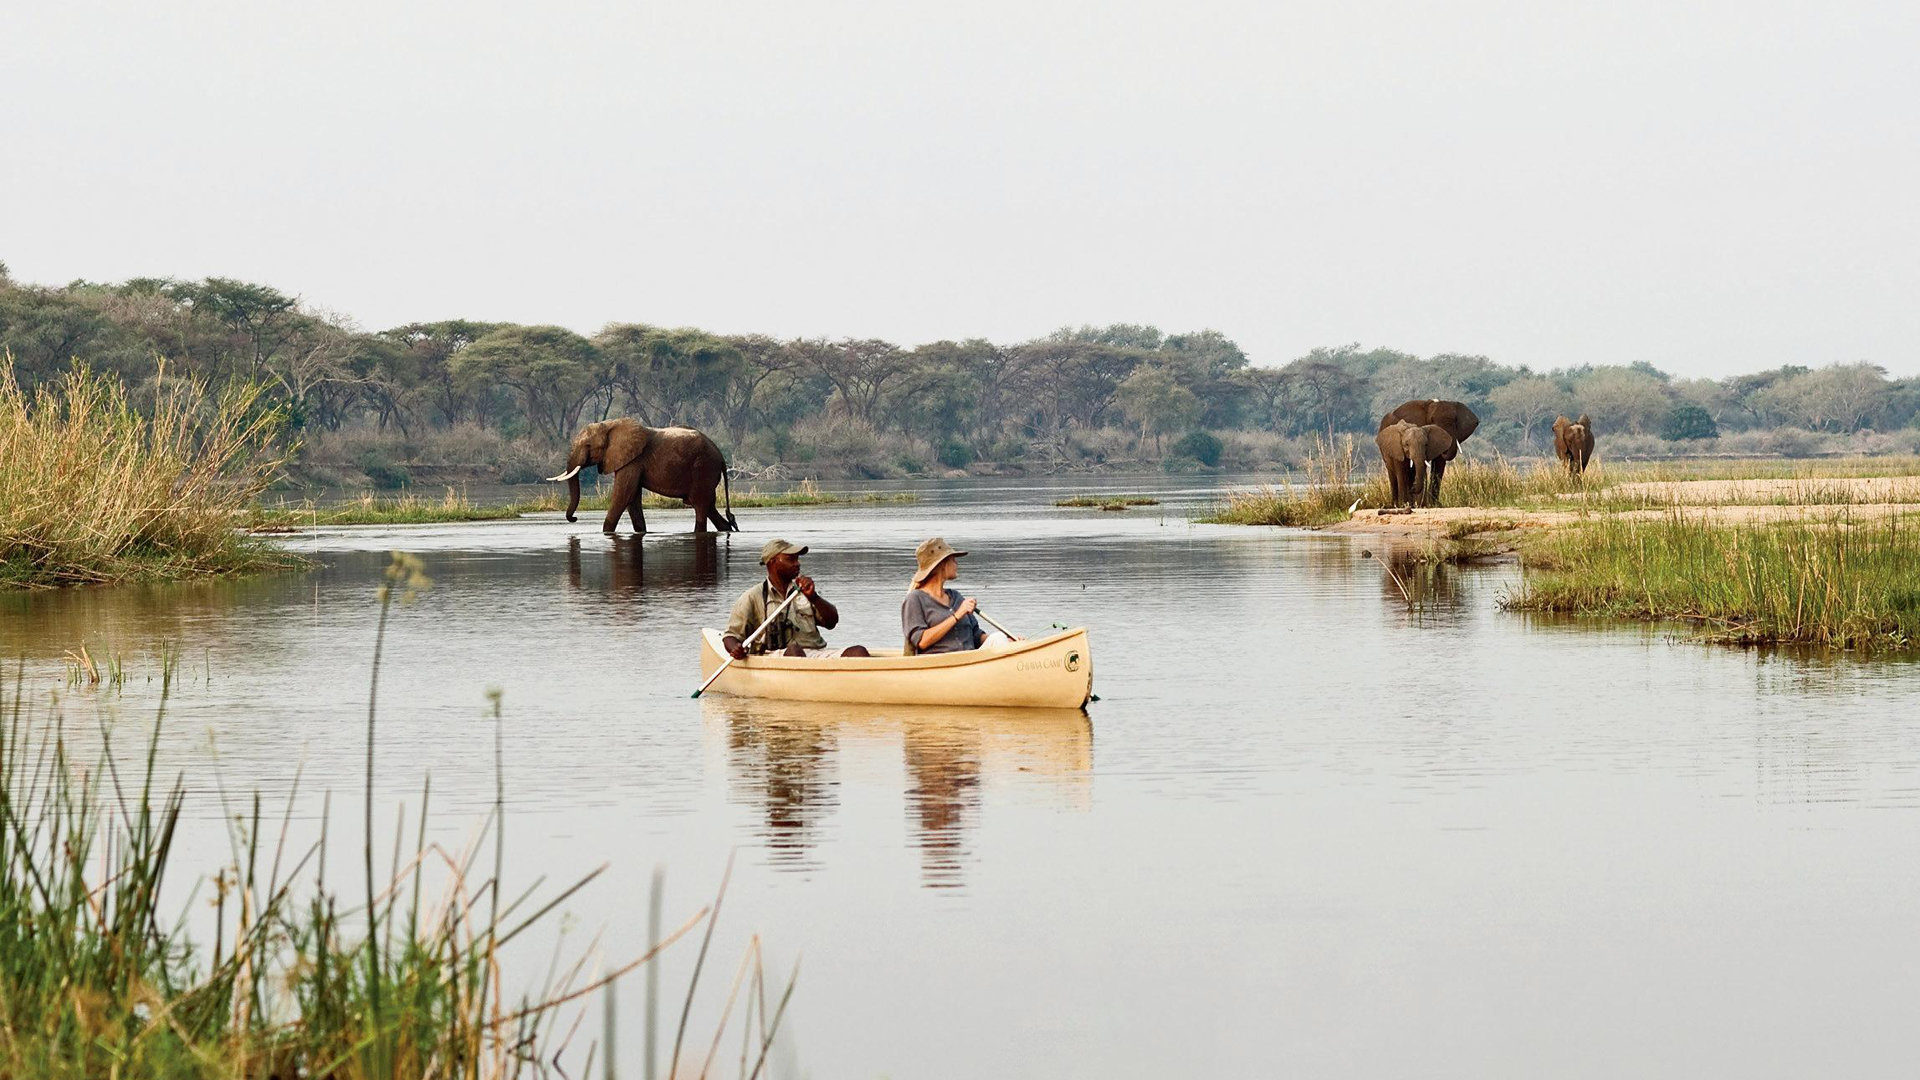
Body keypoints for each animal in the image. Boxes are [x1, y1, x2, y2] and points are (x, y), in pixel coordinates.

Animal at [556, 417, 741, 534]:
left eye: (588, 445)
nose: (574, 518)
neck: (609, 424)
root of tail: (721, 457)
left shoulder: (633, 461)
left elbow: (623, 496)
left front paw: (606, 533)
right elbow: (632, 498)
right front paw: (642, 532)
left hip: (703, 468)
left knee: (700, 505)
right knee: (708, 506)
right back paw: (727, 529)